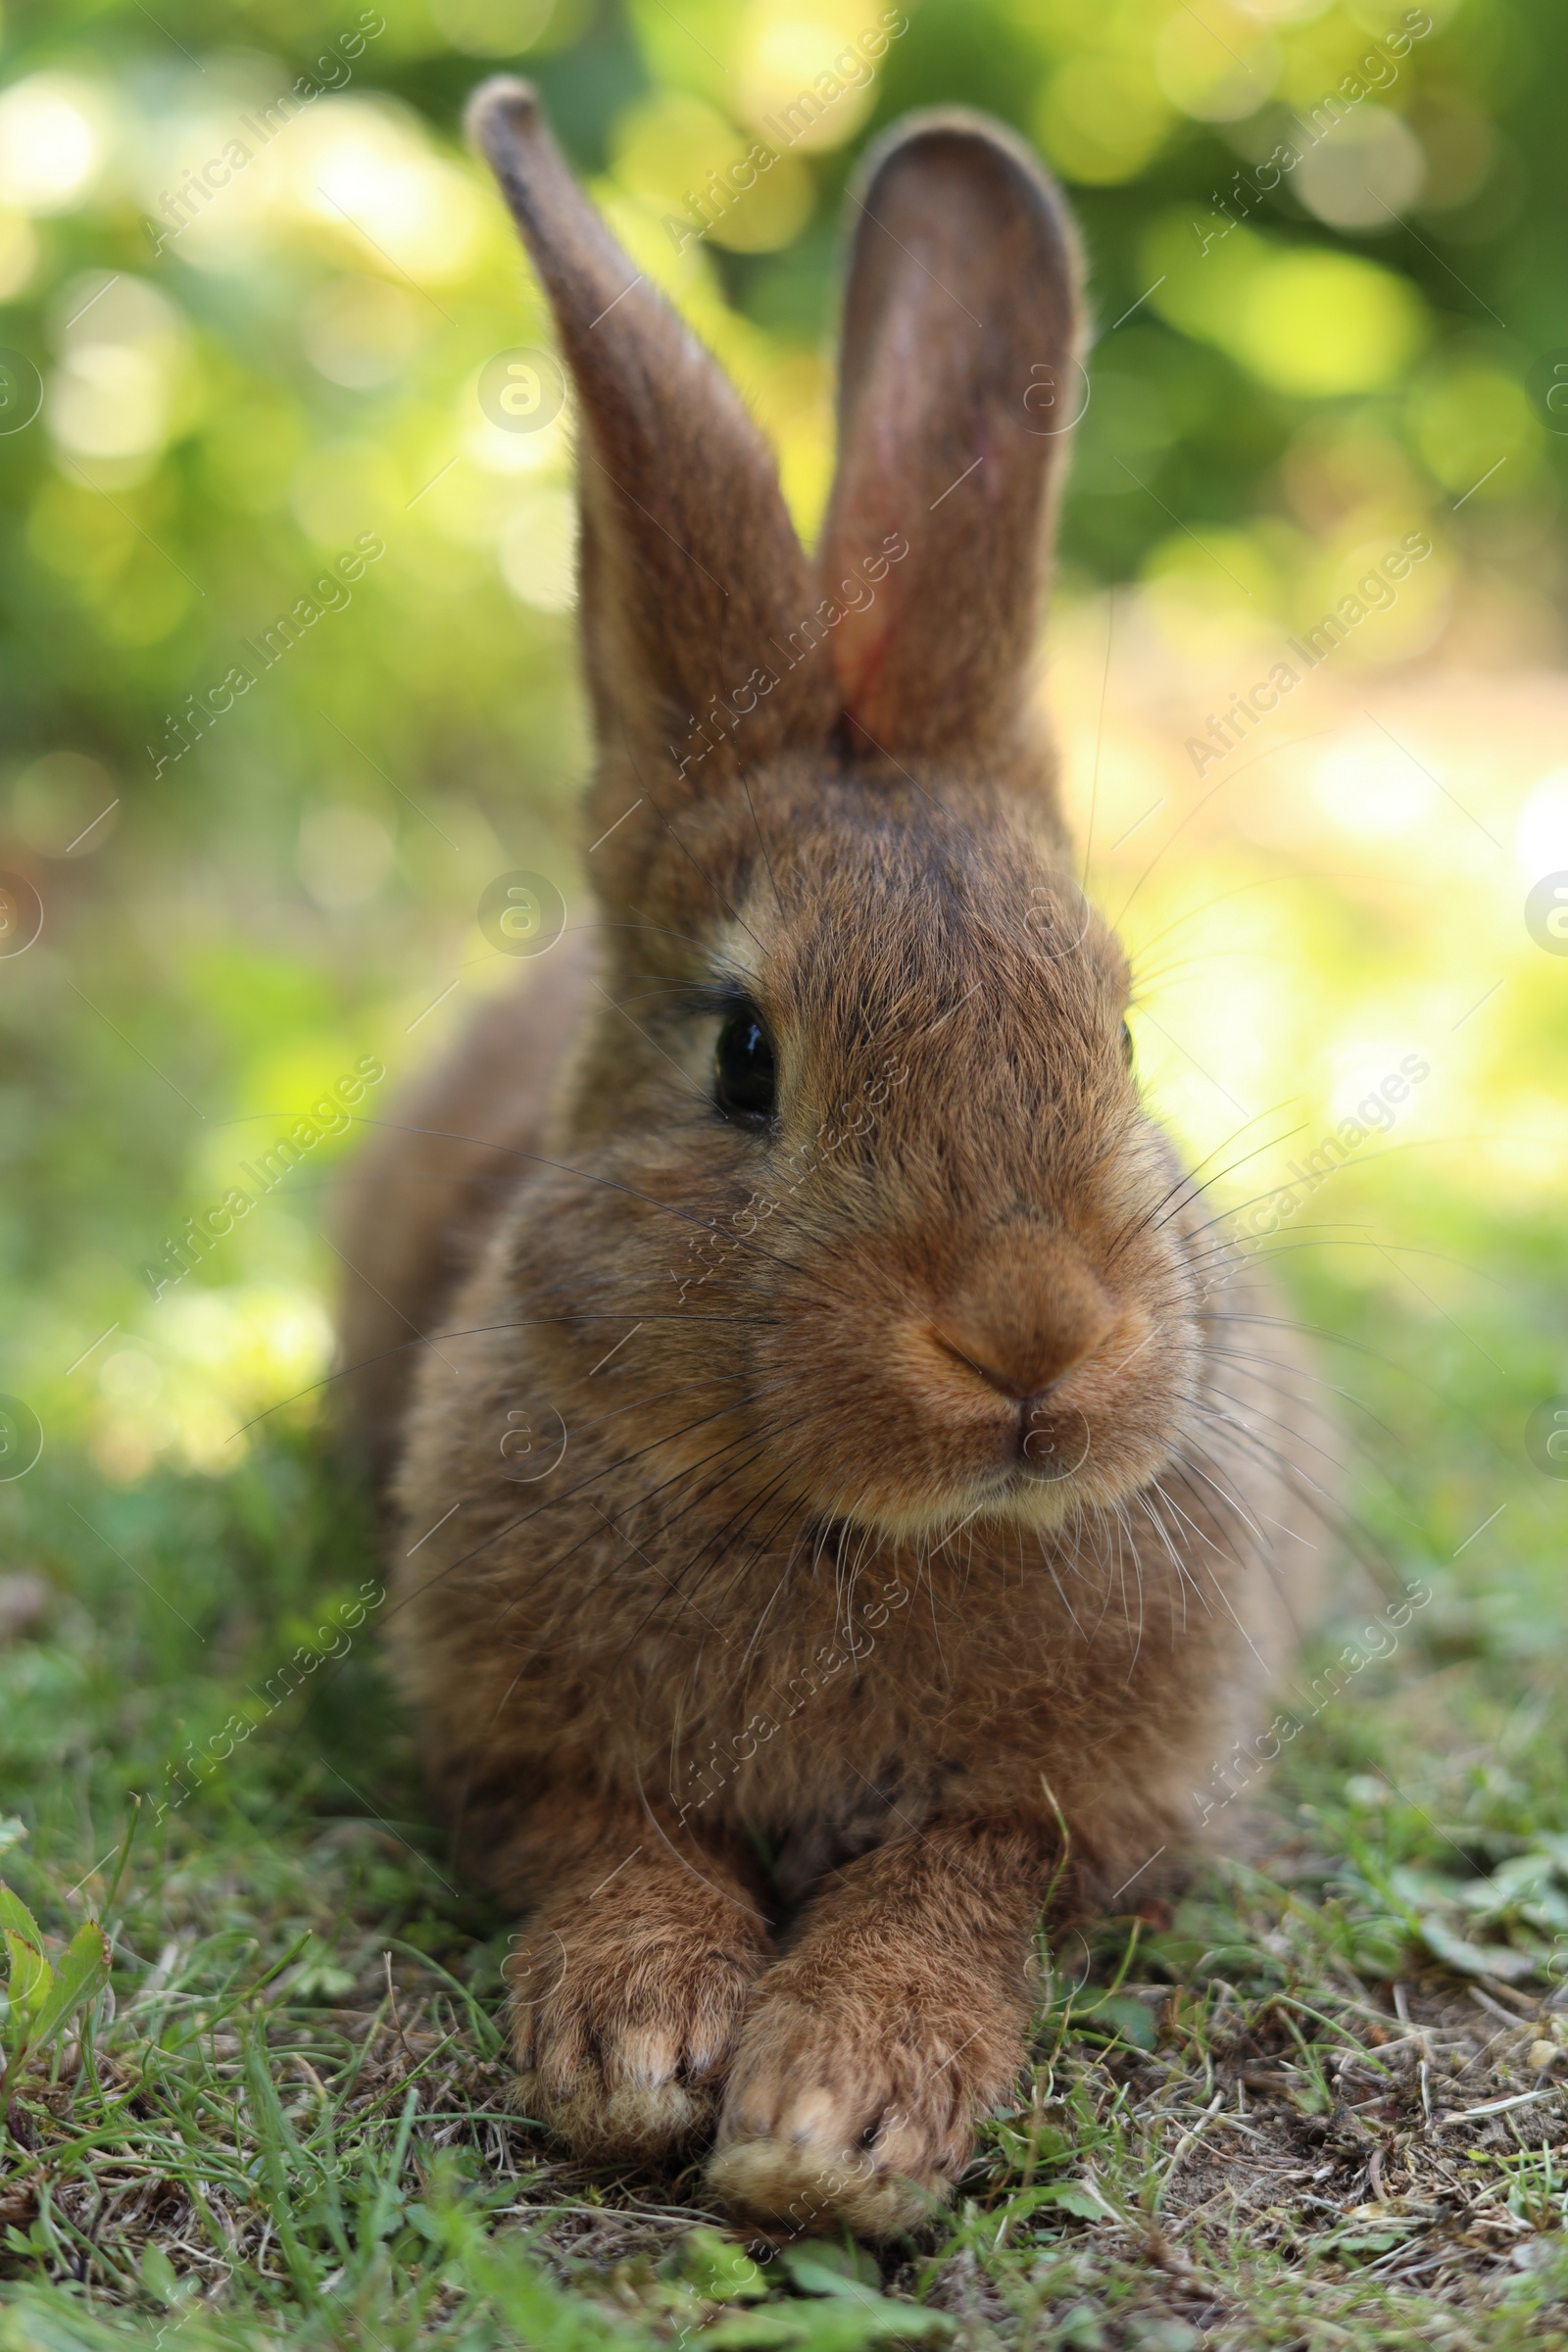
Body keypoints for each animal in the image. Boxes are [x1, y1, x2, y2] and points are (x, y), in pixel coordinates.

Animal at [333, 77, 1335, 2238]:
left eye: (1120, 1034)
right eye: (743, 1056)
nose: (1031, 1341)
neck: (859, 1528)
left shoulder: (1069, 1819)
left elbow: (953, 1889)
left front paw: (832, 2113)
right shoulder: (519, 1760)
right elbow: (612, 1844)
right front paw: (634, 2044)